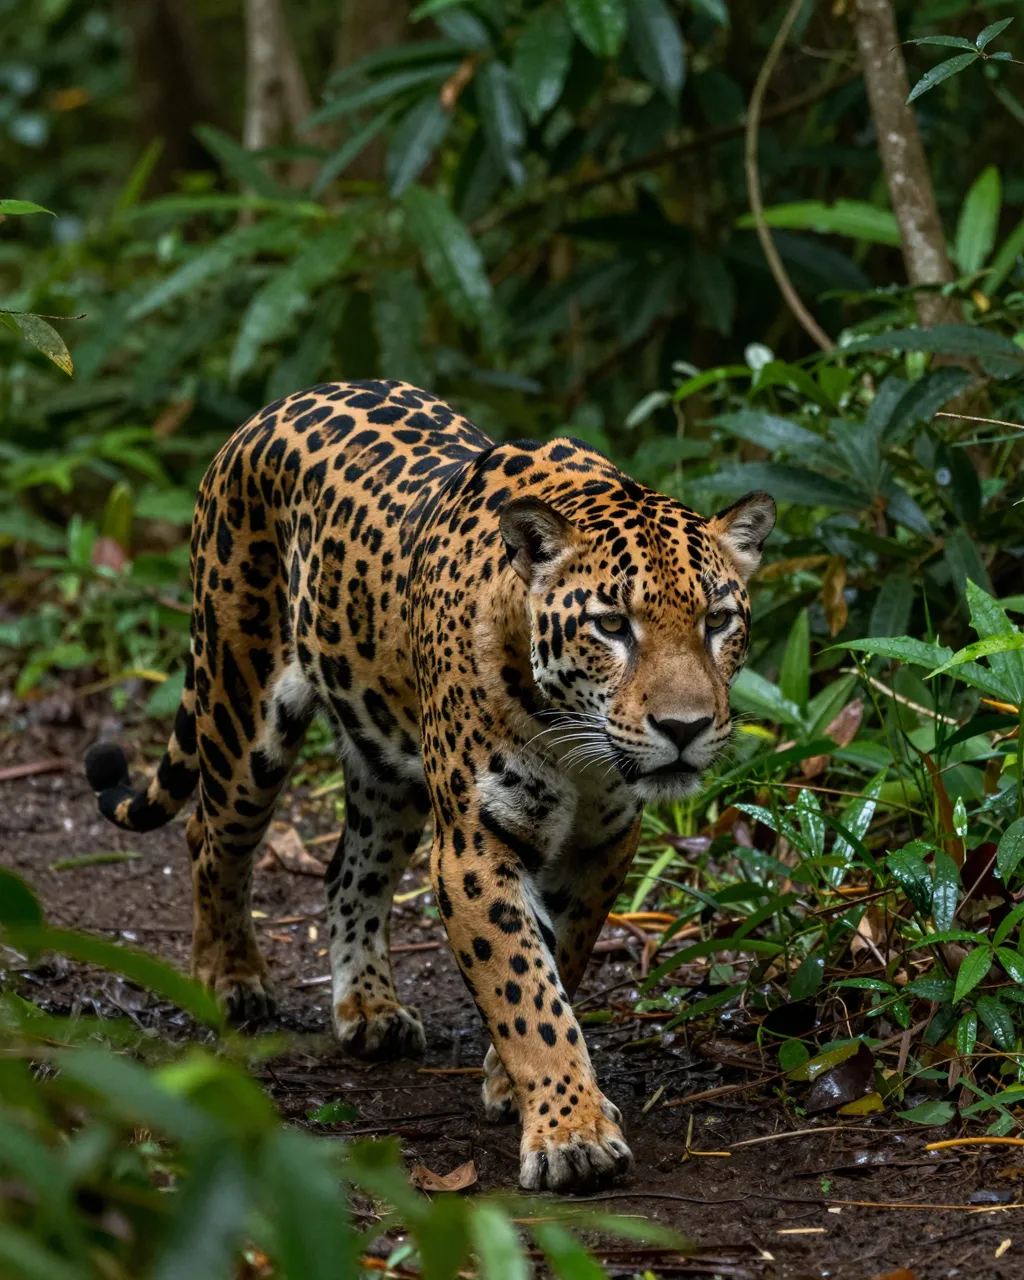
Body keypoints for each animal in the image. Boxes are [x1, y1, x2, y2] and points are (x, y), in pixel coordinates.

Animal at [85, 379, 774, 1193]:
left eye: (719, 620)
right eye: (611, 626)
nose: (684, 727)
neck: (571, 738)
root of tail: (275, 406)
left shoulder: (603, 843)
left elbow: (562, 960)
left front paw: (515, 1085)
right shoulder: (474, 848)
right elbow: (525, 991)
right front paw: (570, 1133)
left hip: (385, 759)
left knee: (349, 873)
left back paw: (369, 1007)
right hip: (239, 705)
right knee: (210, 836)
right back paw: (230, 981)